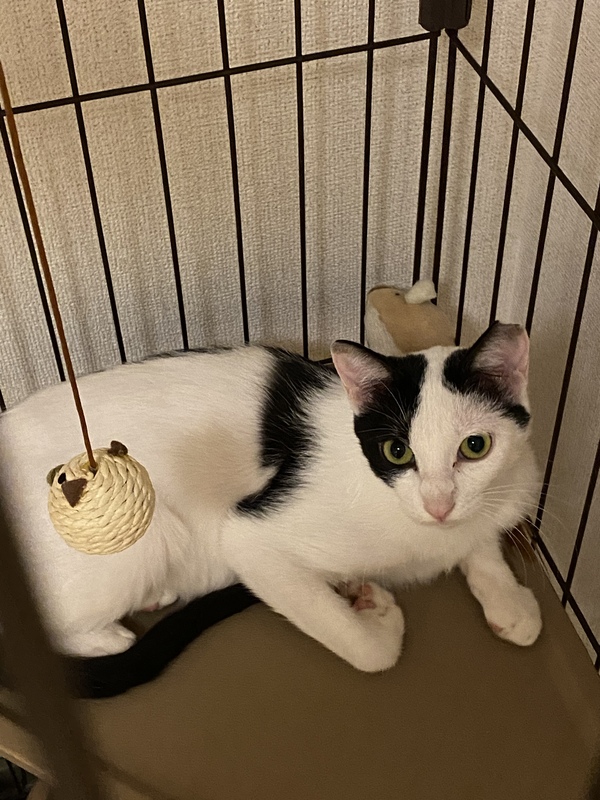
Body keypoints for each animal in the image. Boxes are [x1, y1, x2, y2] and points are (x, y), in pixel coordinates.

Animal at [0, 322, 542, 697]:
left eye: (475, 446)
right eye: (397, 452)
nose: (439, 503)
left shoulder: (511, 487)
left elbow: (484, 541)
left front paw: (509, 600)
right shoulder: (251, 538)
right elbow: (363, 649)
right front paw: (377, 615)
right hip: (135, 531)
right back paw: (114, 637)